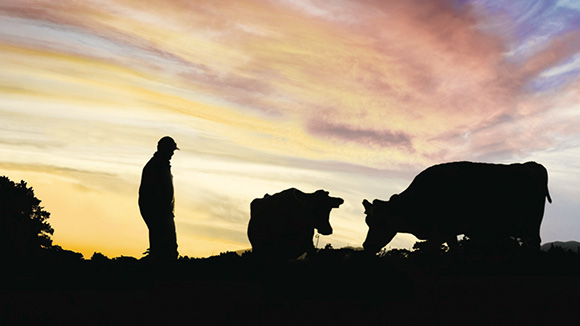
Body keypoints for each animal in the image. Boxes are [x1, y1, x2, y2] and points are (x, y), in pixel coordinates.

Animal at [362, 162, 552, 253]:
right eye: (367, 221)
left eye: (382, 221)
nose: (366, 245)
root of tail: (531, 165)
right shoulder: (448, 234)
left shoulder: (439, 233)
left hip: (533, 223)